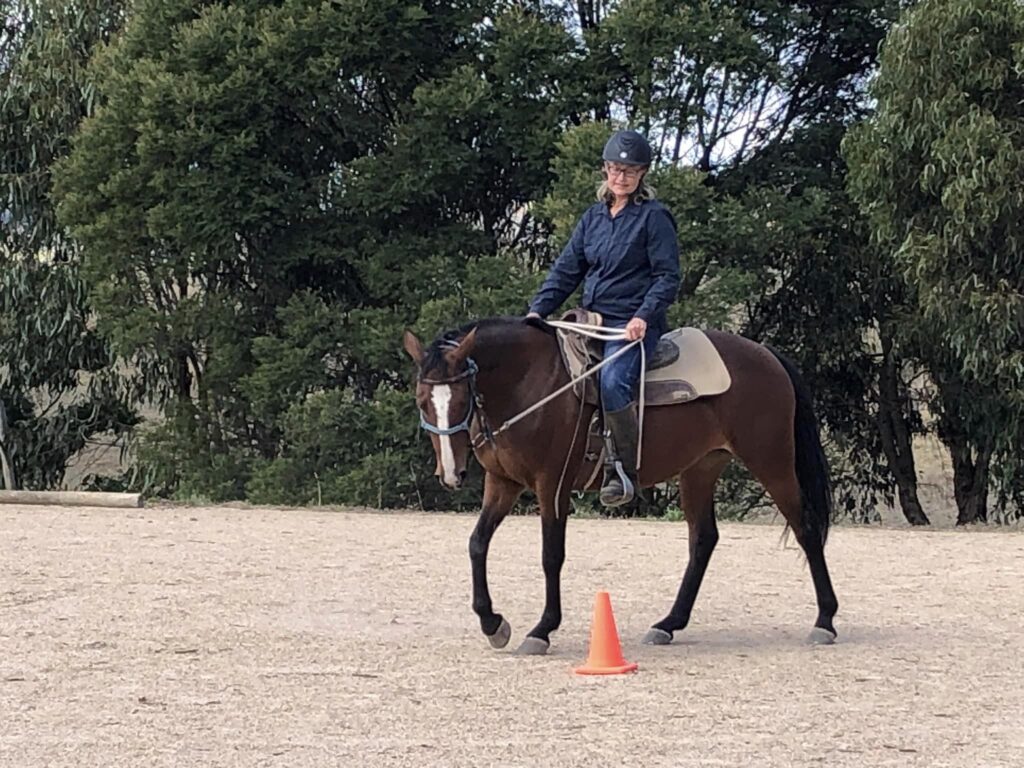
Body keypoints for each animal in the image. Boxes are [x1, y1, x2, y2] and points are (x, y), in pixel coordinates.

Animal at [401, 315, 839, 659]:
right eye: (423, 401)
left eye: (460, 401)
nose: (452, 473)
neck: (530, 383)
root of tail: (768, 356)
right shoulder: (502, 483)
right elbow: (477, 544)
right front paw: (493, 624)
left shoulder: (552, 486)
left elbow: (551, 556)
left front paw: (541, 629)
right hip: (700, 469)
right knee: (703, 539)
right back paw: (668, 624)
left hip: (772, 462)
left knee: (805, 529)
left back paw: (825, 621)